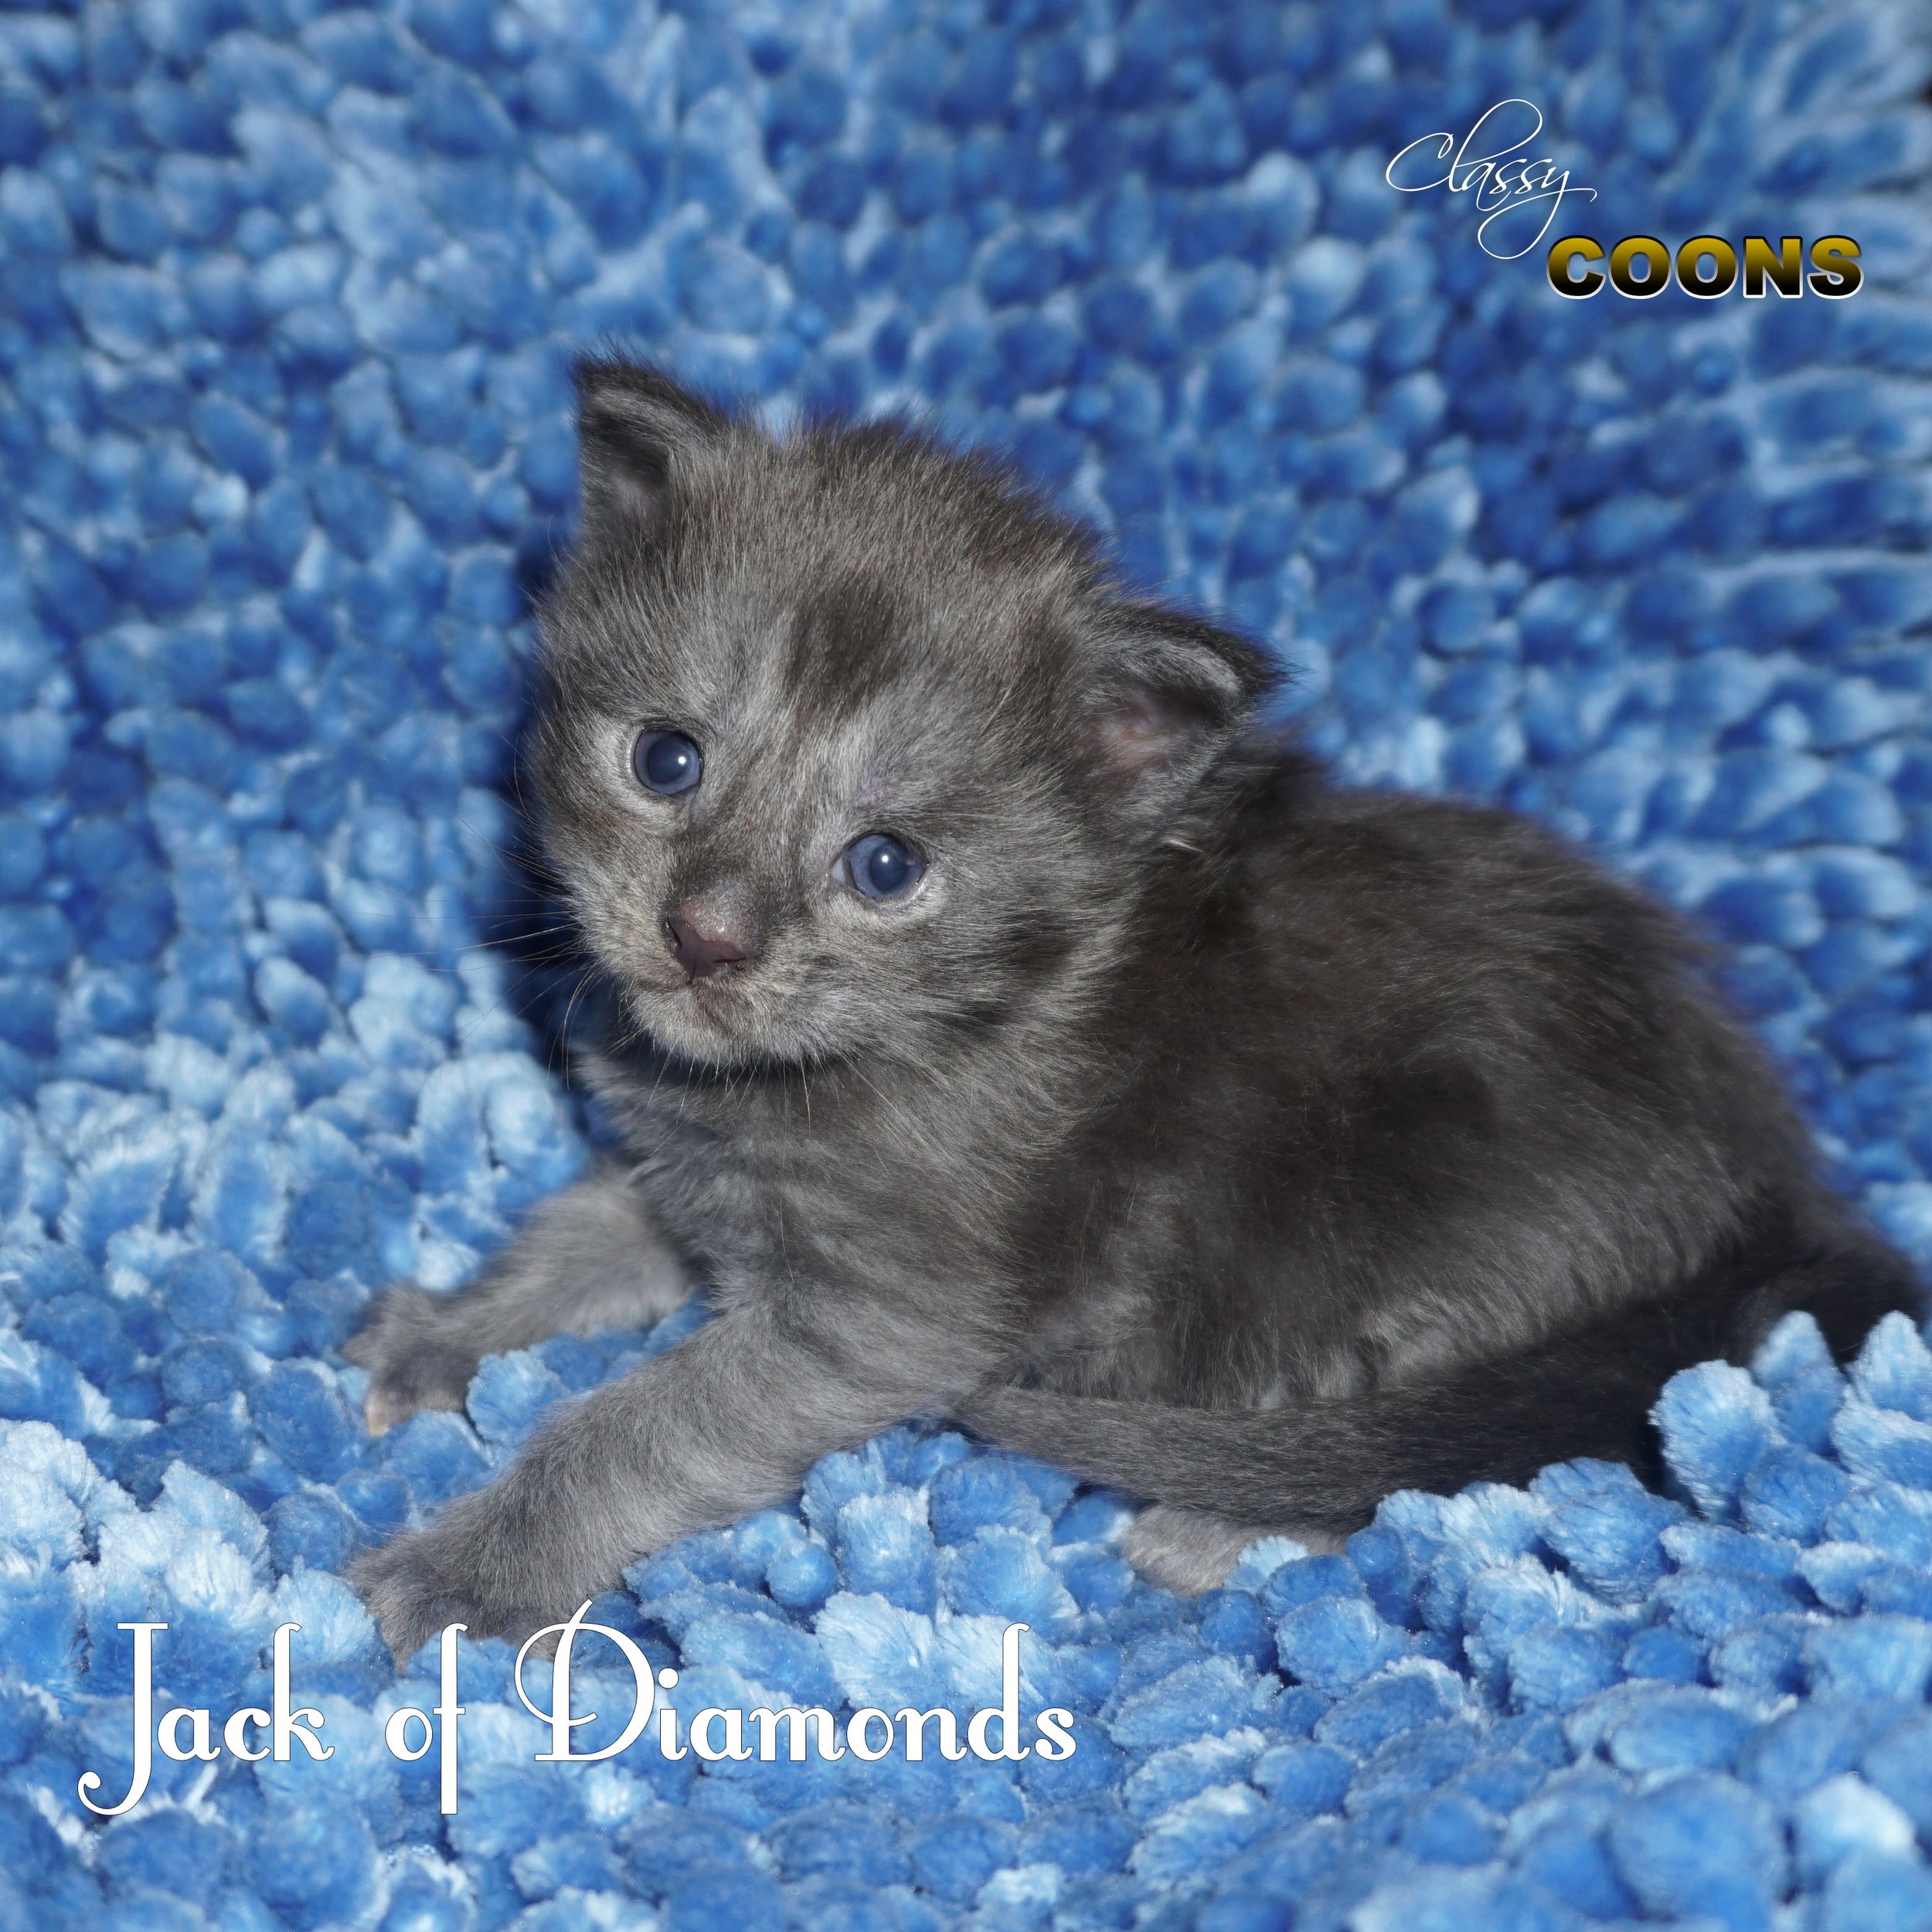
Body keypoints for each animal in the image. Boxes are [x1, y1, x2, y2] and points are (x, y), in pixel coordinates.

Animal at [345, 357, 1921, 1658]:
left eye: (885, 865)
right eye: (664, 759)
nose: (706, 938)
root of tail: (1774, 1202)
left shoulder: (888, 1314)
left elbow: (643, 1426)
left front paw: (469, 1565)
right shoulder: (685, 1170)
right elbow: (579, 1234)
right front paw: (447, 1331)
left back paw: (1224, 1520)